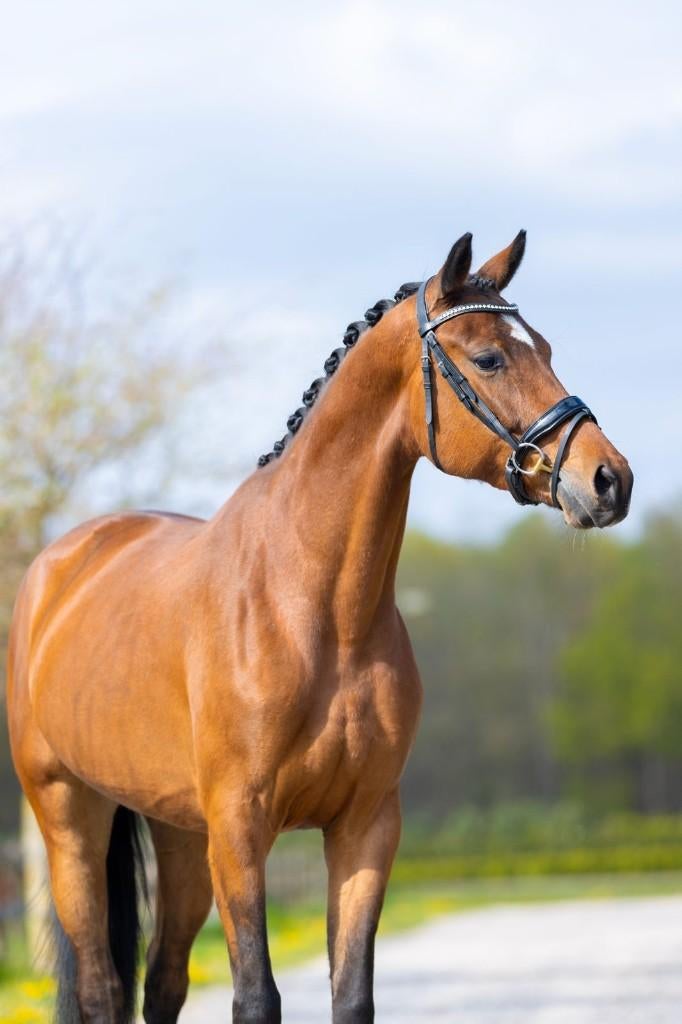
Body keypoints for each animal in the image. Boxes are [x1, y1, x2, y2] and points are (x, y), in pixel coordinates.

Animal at [7, 231, 633, 1024]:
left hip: (178, 835)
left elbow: (352, 994)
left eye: (546, 347)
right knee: (99, 985)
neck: (314, 611)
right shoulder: (240, 830)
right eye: (490, 357)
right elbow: (255, 997)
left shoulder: (365, 827)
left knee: (163, 982)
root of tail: (61, 564)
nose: (610, 479)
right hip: (69, 817)